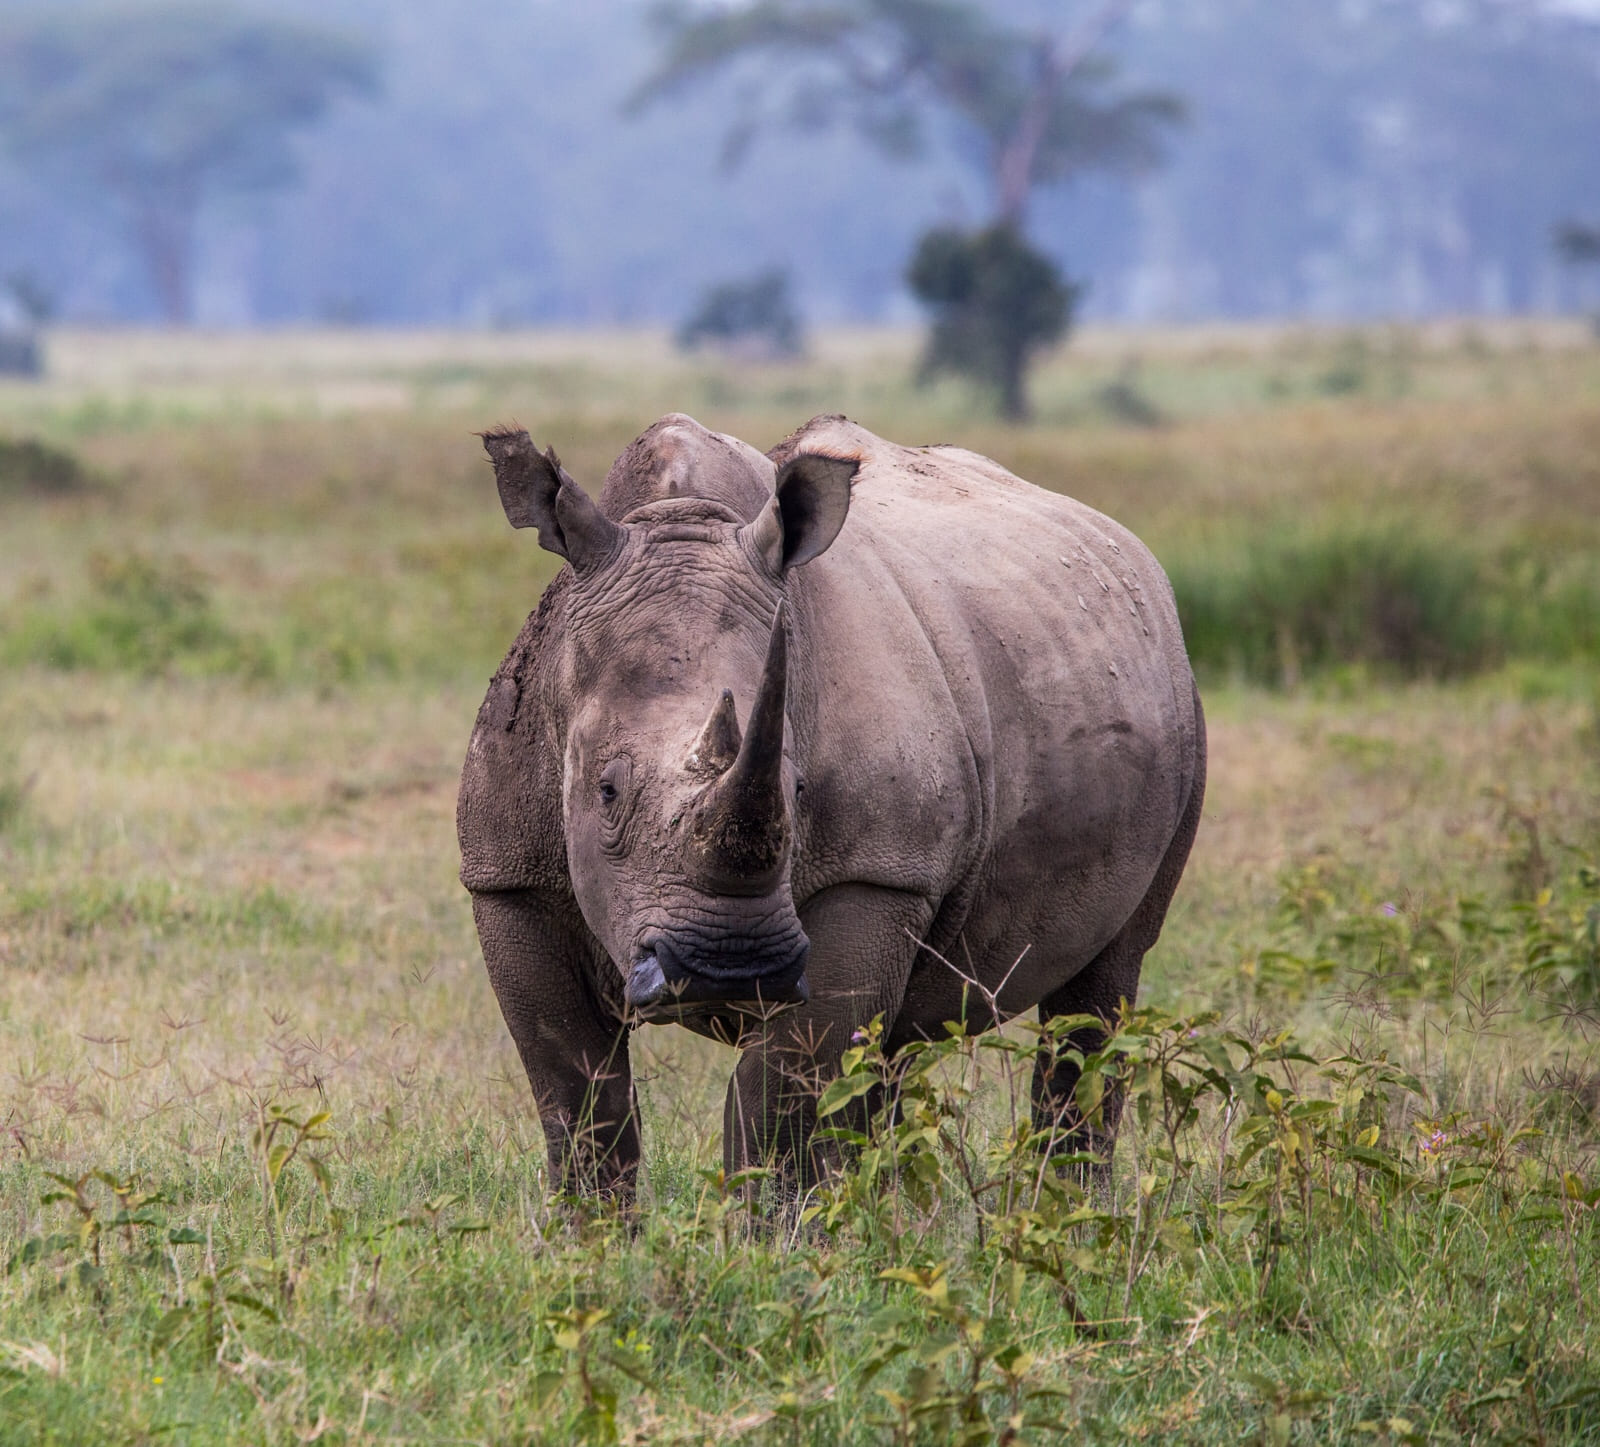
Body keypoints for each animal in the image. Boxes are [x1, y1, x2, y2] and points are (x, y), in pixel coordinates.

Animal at [458, 413, 1205, 1198]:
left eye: (798, 792)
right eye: (605, 791)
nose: (729, 968)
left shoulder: (878, 873)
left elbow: (776, 1096)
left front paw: (772, 1228)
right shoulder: (509, 876)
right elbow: (577, 1097)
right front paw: (593, 1228)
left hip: (1176, 696)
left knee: (1104, 983)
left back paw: (1065, 1204)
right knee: (893, 1044)